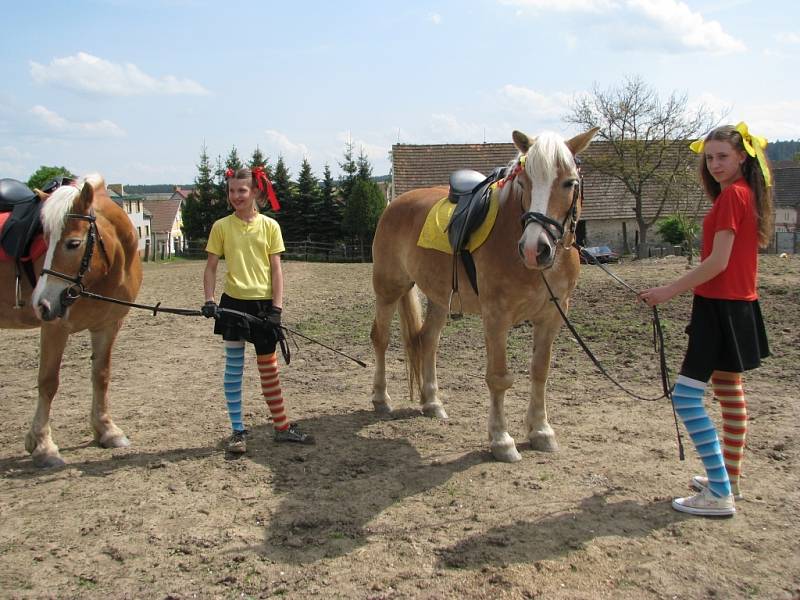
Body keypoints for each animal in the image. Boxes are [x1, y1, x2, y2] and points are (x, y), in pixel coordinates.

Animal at [0, 177, 142, 468]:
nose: (41, 303)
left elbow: (101, 376)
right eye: (44, 240)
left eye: (73, 244)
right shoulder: (55, 327)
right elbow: (48, 382)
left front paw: (107, 431)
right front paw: (43, 446)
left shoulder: (108, 325)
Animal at [372, 129, 596, 462]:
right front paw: (502, 440)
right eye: (524, 182)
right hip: (389, 288)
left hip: (439, 298)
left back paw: (432, 402)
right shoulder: (496, 317)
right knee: (381, 339)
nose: (535, 249)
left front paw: (541, 431)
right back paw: (381, 399)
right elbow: (499, 378)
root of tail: (395, 202)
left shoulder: (552, 316)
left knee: (427, 341)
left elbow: (540, 371)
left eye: (569, 182)